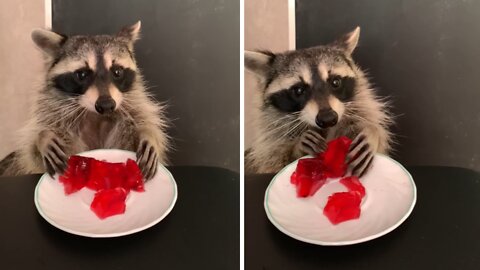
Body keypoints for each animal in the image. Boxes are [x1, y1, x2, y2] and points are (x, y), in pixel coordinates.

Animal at [0, 21, 169, 180]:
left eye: (117, 72)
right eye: (82, 74)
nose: (106, 105)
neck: (95, 115)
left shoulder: (131, 110)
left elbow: (139, 127)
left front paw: (147, 134)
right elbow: (32, 153)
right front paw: (43, 137)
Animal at [246, 26, 392, 175]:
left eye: (335, 82)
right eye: (298, 90)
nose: (328, 119)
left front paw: (372, 132)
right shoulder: (271, 142)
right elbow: (275, 159)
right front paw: (297, 147)